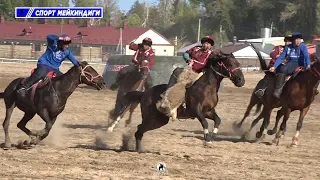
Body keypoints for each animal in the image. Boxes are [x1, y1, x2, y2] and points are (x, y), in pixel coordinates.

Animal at [110, 50, 245, 152]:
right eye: (230, 64)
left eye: (238, 63)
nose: (241, 80)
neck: (206, 87)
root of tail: (144, 94)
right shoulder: (196, 111)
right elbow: (205, 123)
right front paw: (206, 140)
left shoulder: (208, 111)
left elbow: (217, 120)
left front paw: (211, 139)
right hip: (152, 118)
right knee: (139, 130)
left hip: (159, 120)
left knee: (140, 130)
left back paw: (139, 149)